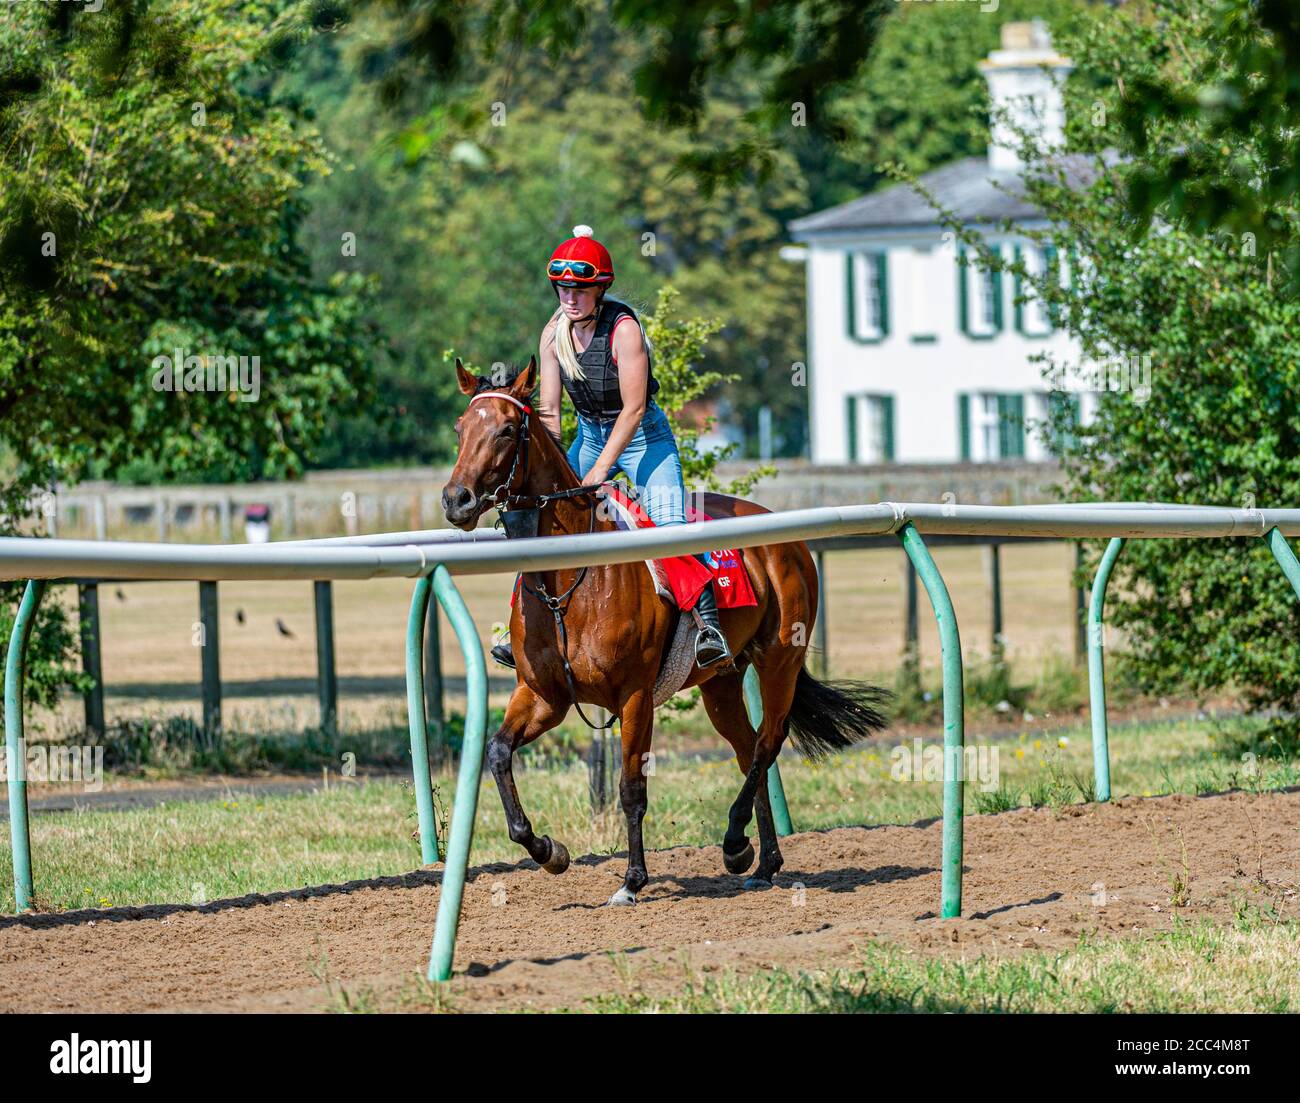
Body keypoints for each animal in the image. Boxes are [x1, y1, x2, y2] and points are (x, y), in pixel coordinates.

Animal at [440, 357, 891, 904]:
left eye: (507, 430)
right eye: (460, 428)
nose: (456, 499)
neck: (569, 580)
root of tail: (784, 536)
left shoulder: (635, 695)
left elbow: (631, 787)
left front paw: (632, 880)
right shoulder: (544, 694)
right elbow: (498, 752)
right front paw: (550, 851)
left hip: (779, 657)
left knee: (768, 741)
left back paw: (735, 842)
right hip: (722, 682)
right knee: (748, 751)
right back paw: (763, 860)